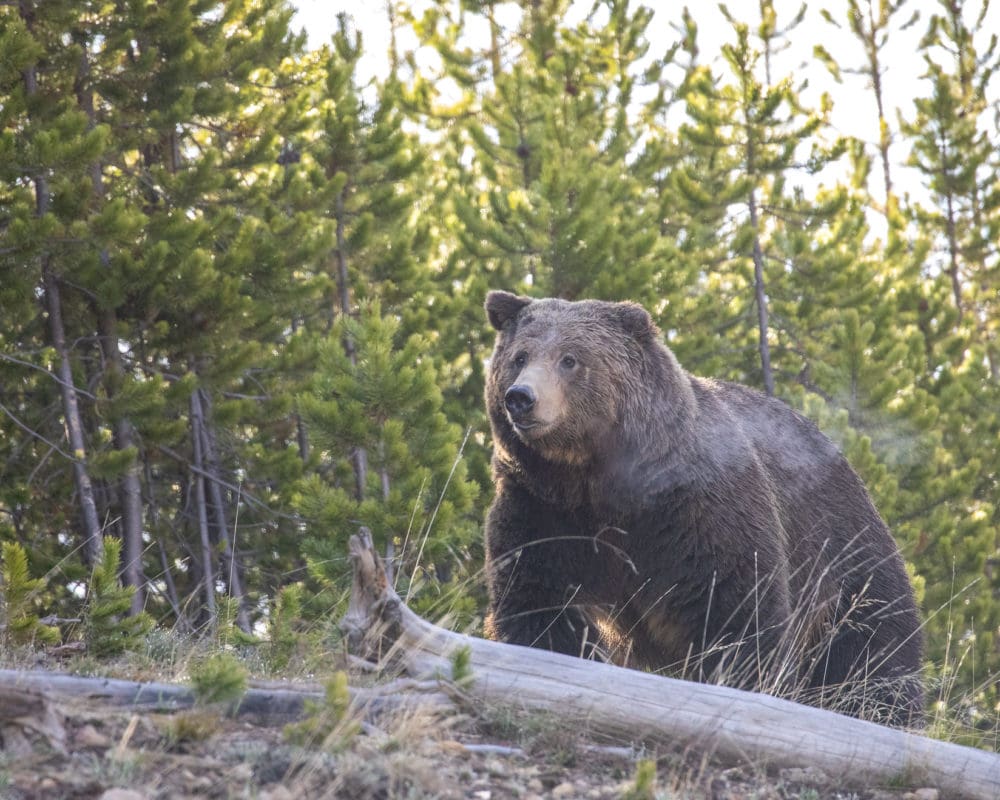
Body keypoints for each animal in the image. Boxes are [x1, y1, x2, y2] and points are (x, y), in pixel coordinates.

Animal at [483, 290, 924, 727]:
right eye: (519, 356)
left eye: (570, 358)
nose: (521, 397)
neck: (595, 481)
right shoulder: (543, 508)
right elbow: (538, 598)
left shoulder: (695, 509)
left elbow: (734, 607)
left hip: (843, 548)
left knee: (873, 646)